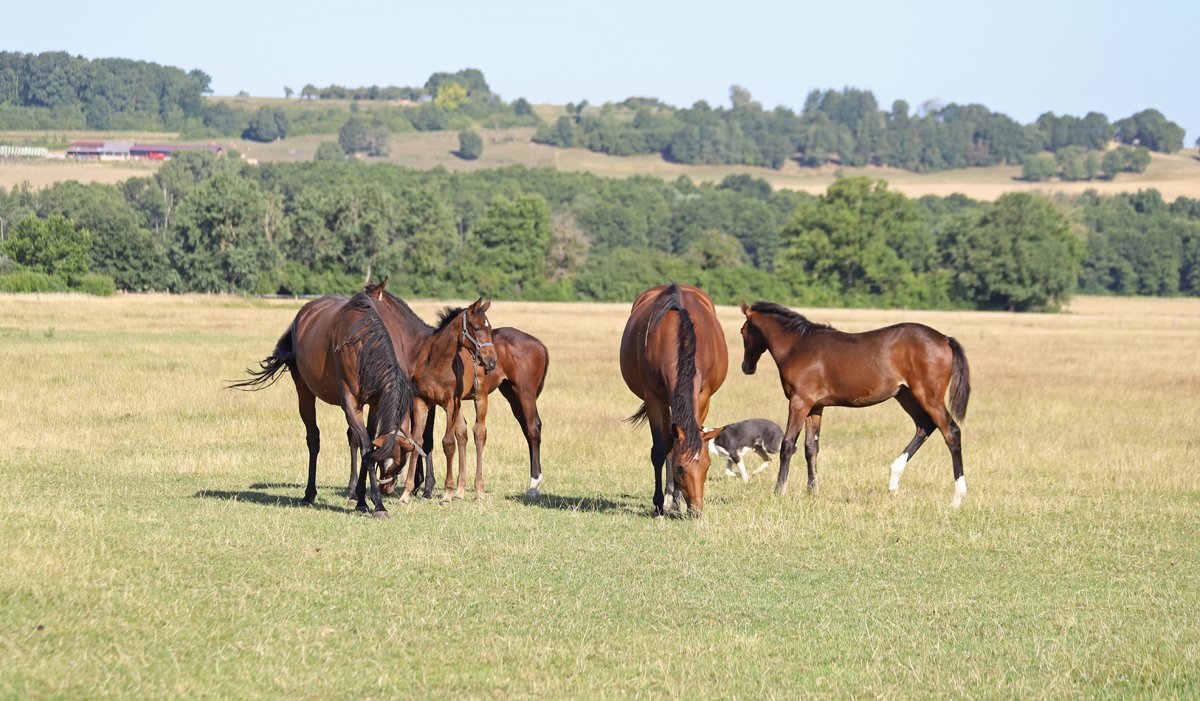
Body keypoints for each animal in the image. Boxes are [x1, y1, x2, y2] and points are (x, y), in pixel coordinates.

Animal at [228, 286, 421, 517]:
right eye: (389, 463)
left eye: (401, 462)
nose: (387, 489)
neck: (361, 346)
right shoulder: (350, 402)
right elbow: (365, 446)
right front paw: (376, 505)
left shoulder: (374, 403)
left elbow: (368, 442)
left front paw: (361, 500)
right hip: (304, 390)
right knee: (313, 438)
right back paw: (309, 495)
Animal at [620, 284, 727, 517]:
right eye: (681, 468)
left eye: (707, 465)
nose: (696, 511)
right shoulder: (654, 398)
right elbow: (661, 450)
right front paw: (660, 502)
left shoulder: (703, 396)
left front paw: (677, 499)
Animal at [738, 301, 971, 507]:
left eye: (742, 332)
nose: (746, 367)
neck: (797, 346)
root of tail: (945, 339)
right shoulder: (815, 408)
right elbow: (811, 448)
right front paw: (812, 491)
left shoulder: (799, 403)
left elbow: (787, 445)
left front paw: (779, 490)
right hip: (905, 395)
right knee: (924, 426)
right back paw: (893, 481)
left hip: (928, 396)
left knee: (951, 433)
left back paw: (957, 499)